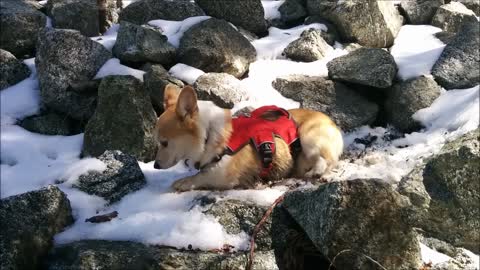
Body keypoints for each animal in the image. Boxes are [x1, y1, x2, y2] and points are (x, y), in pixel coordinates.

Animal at [152, 85, 344, 192]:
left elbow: (200, 176)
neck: (208, 134)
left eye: (164, 143)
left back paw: (318, 172)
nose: (155, 166)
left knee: (327, 160)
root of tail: (332, 123)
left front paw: (182, 182)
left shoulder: (223, 175)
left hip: (308, 137)